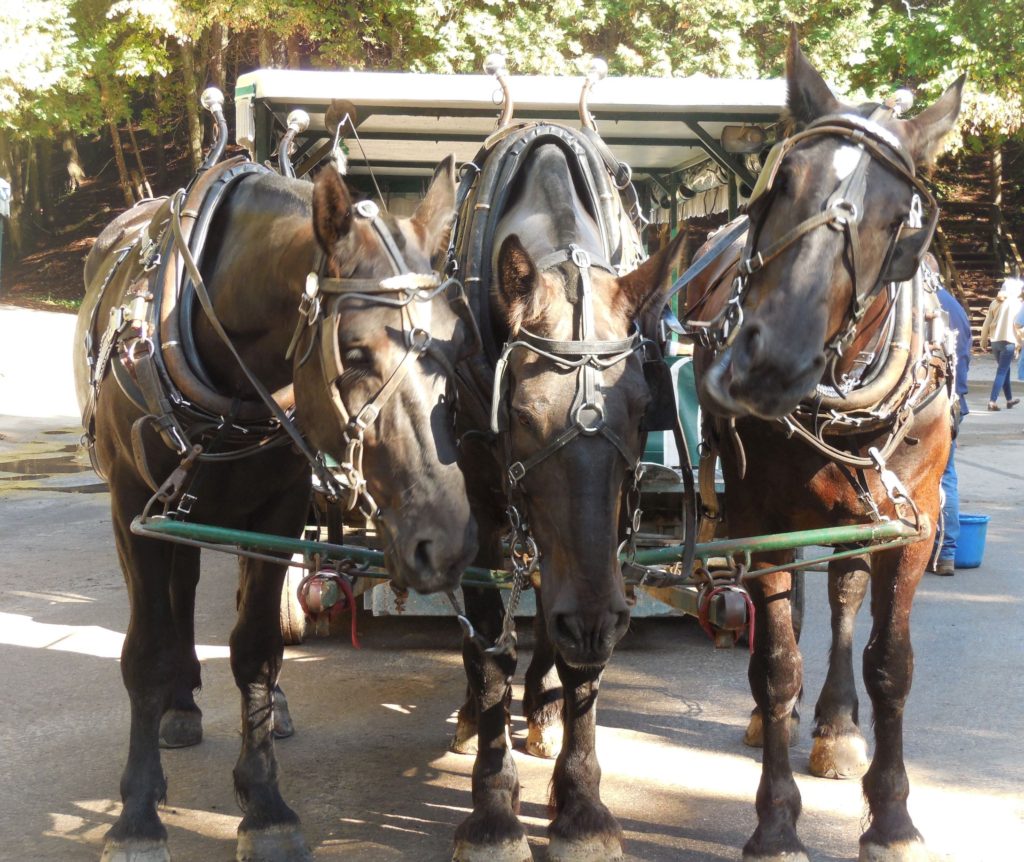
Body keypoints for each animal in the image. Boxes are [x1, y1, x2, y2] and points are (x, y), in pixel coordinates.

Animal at [74, 149, 475, 859]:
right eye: (354, 351)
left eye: (455, 346)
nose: (447, 543)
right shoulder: (132, 508)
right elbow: (144, 651)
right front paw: (138, 815)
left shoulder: (280, 509)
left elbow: (257, 647)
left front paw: (263, 804)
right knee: (180, 592)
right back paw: (180, 706)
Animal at [444, 122, 684, 859]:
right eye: (520, 414)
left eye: (642, 406)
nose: (592, 621)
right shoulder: (486, 513)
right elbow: (491, 649)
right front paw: (494, 809)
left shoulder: (605, 535)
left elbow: (583, 663)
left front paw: (581, 808)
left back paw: (545, 709)